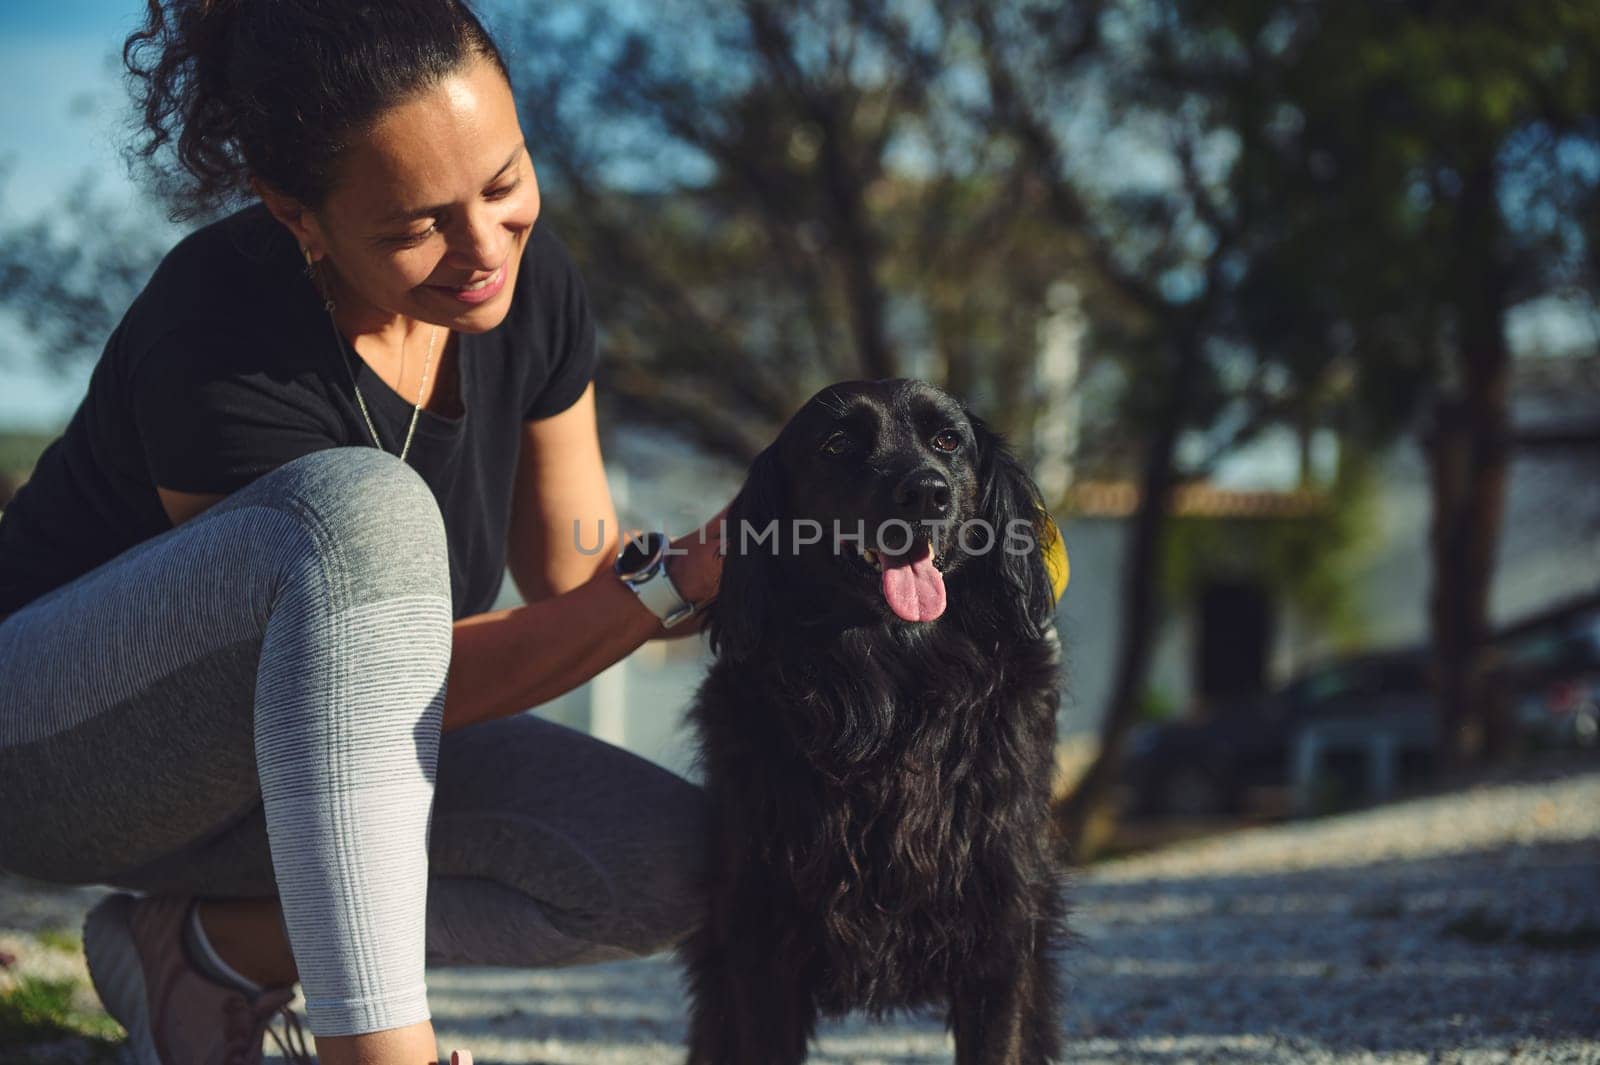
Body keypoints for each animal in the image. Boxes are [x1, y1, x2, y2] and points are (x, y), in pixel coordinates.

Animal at [678, 377, 1068, 1055]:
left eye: (948, 440)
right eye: (837, 444)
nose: (928, 492)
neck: (891, 698)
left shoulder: (1004, 925)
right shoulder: (758, 936)